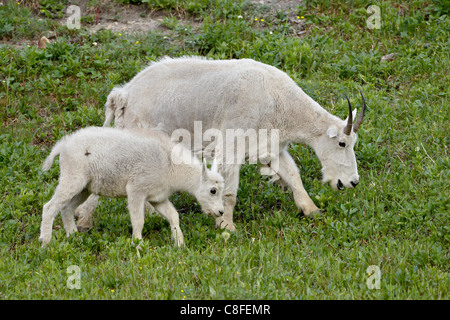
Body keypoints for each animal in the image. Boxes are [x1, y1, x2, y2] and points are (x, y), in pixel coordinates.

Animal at [39, 127, 224, 248]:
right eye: (213, 190)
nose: (221, 212)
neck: (171, 165)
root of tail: (62, 146)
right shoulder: (136, 189)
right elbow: (138, 220)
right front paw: (138, 244)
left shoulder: (157, 197)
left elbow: (173, 215)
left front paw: (179, 243)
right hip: (72, 177)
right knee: (49, 207)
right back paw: (46, 242)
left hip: (85, 187)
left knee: (67, 208)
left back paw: (74, 237)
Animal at [76, 57, 366, 231]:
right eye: (342, 143)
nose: (352, 182)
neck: (279, 103)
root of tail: (122, 95)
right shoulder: (231, 144)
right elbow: (229, 192)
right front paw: (226, 227)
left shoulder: (270, 145)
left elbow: (293, 175)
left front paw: (312, 210)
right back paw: (84, 220)